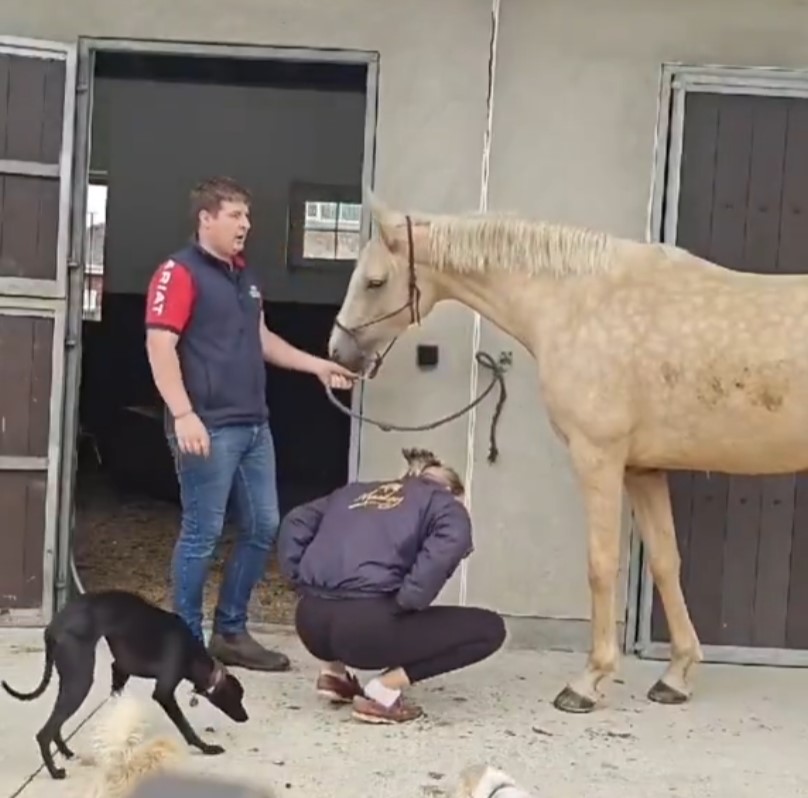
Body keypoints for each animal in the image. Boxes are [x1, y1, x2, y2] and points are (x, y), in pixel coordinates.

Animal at [0, 588, 249, 780]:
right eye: (239, 696)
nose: (245, 718)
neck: (191, 651)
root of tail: (52, 627)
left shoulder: (120, 671)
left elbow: (116, 707)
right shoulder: (164, 692)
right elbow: (186, 727)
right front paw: (206, 747)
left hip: (70, 679)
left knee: (56, 721)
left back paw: (65, 751)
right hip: (81, 680)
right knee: (44, 732)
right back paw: (54, 771)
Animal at [326, 191, 808, 716]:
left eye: (375, 281)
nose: (337, 353)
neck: (579, 301)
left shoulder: (598, 457)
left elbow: (600, 565)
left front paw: (588, 682)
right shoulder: (642, 469)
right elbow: (665, 563)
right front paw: (676, 676)